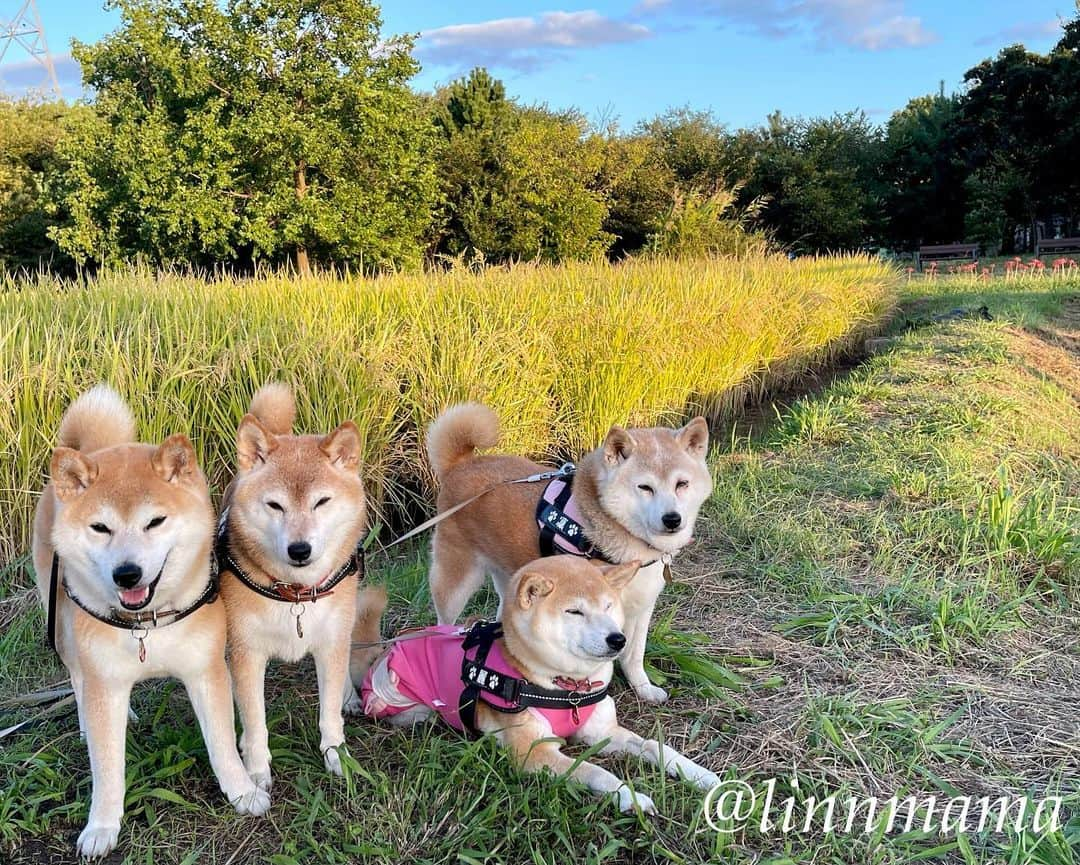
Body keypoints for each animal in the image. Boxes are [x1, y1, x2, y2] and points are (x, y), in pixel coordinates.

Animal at [31, 386, 267, 855]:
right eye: (100, 528)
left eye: (154, 521)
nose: (127, 573)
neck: (146, 624)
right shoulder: (104, 676)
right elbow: (107, 769)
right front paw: (102, 826)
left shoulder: (205, 670)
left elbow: (221, 744)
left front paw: (243, 792)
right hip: (64, 630)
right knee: (80, 682)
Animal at [218, 384, 367, 790]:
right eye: (275, 505)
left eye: (322, 502)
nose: (300, 549)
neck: (295, 593)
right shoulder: (247, 653)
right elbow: (255, 724)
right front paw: (256, 772)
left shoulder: (330, 643)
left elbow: (329, 713)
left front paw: (338, 756)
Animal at [356, 557, 717, 812]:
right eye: (574, 612)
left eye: (608, 606)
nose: (618, 639)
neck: (567, 688)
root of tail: (388, 647)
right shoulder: (534, 753)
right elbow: (595, 771)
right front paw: (630, 797)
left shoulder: (603, 732)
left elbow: (656, 747)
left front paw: (700, 775)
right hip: (401, 701)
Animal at [425, 406, 712, 699]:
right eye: (645, 487)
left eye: (682, 484)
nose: (672, 519)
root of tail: (459, 465)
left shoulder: (640, 607)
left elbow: (634, 656)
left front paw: (644, 689)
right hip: (455, 583)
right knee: (444, 619)